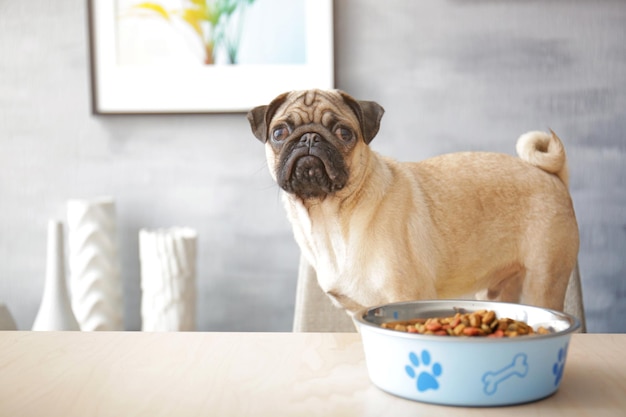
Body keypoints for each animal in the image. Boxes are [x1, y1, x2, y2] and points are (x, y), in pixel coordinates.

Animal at [246, 88, 576, 316]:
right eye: (280, 132)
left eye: (344, 133)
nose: (310, 138)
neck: (330, 218)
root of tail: (552, 175)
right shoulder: (357, 312)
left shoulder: (406, 296)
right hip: (496, 291)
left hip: (544, 281)